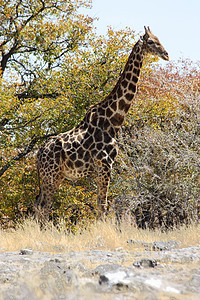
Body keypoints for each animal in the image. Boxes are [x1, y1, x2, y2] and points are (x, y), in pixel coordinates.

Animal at [34, 26, 169, 223]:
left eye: (159, 39)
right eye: (151, 42)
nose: (166, 54)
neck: (114, 121)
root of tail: (38, 154)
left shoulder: (102, 169)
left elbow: (101, 205)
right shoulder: (105, 166)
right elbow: (103, 206)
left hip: (53, 176)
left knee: (38, 204)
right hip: (50, 175)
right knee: (44, 206)